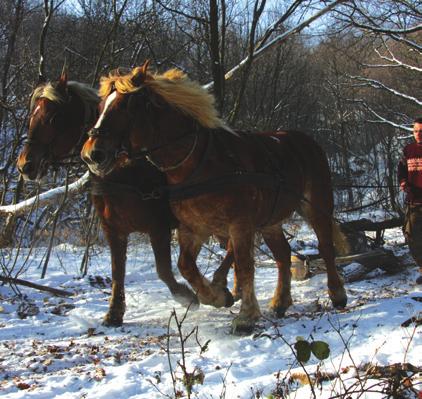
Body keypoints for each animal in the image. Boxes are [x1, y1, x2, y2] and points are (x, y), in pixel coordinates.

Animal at [18, 72, 206, 328]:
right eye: (32, 115)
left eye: (54, 117)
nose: (25, 165)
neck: (124, 172)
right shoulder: (113, 230)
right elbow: (118, 271)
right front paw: (115, 313)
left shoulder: (158, 228)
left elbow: (163, 270)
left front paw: (187, 296)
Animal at [81, 61, 348, 332]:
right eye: (100, 108)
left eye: (125, 106)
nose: (92, 154)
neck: (200, 165)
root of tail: (305, 140)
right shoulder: (192, 228)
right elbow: (184, 265)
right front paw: (216, 296)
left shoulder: (238, 225)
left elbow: (244, 266)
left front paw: (245, 316)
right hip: (270, 221)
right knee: (283, 255)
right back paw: (280, 302)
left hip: (316, 206)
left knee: (326, 247)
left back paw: (337, 294)